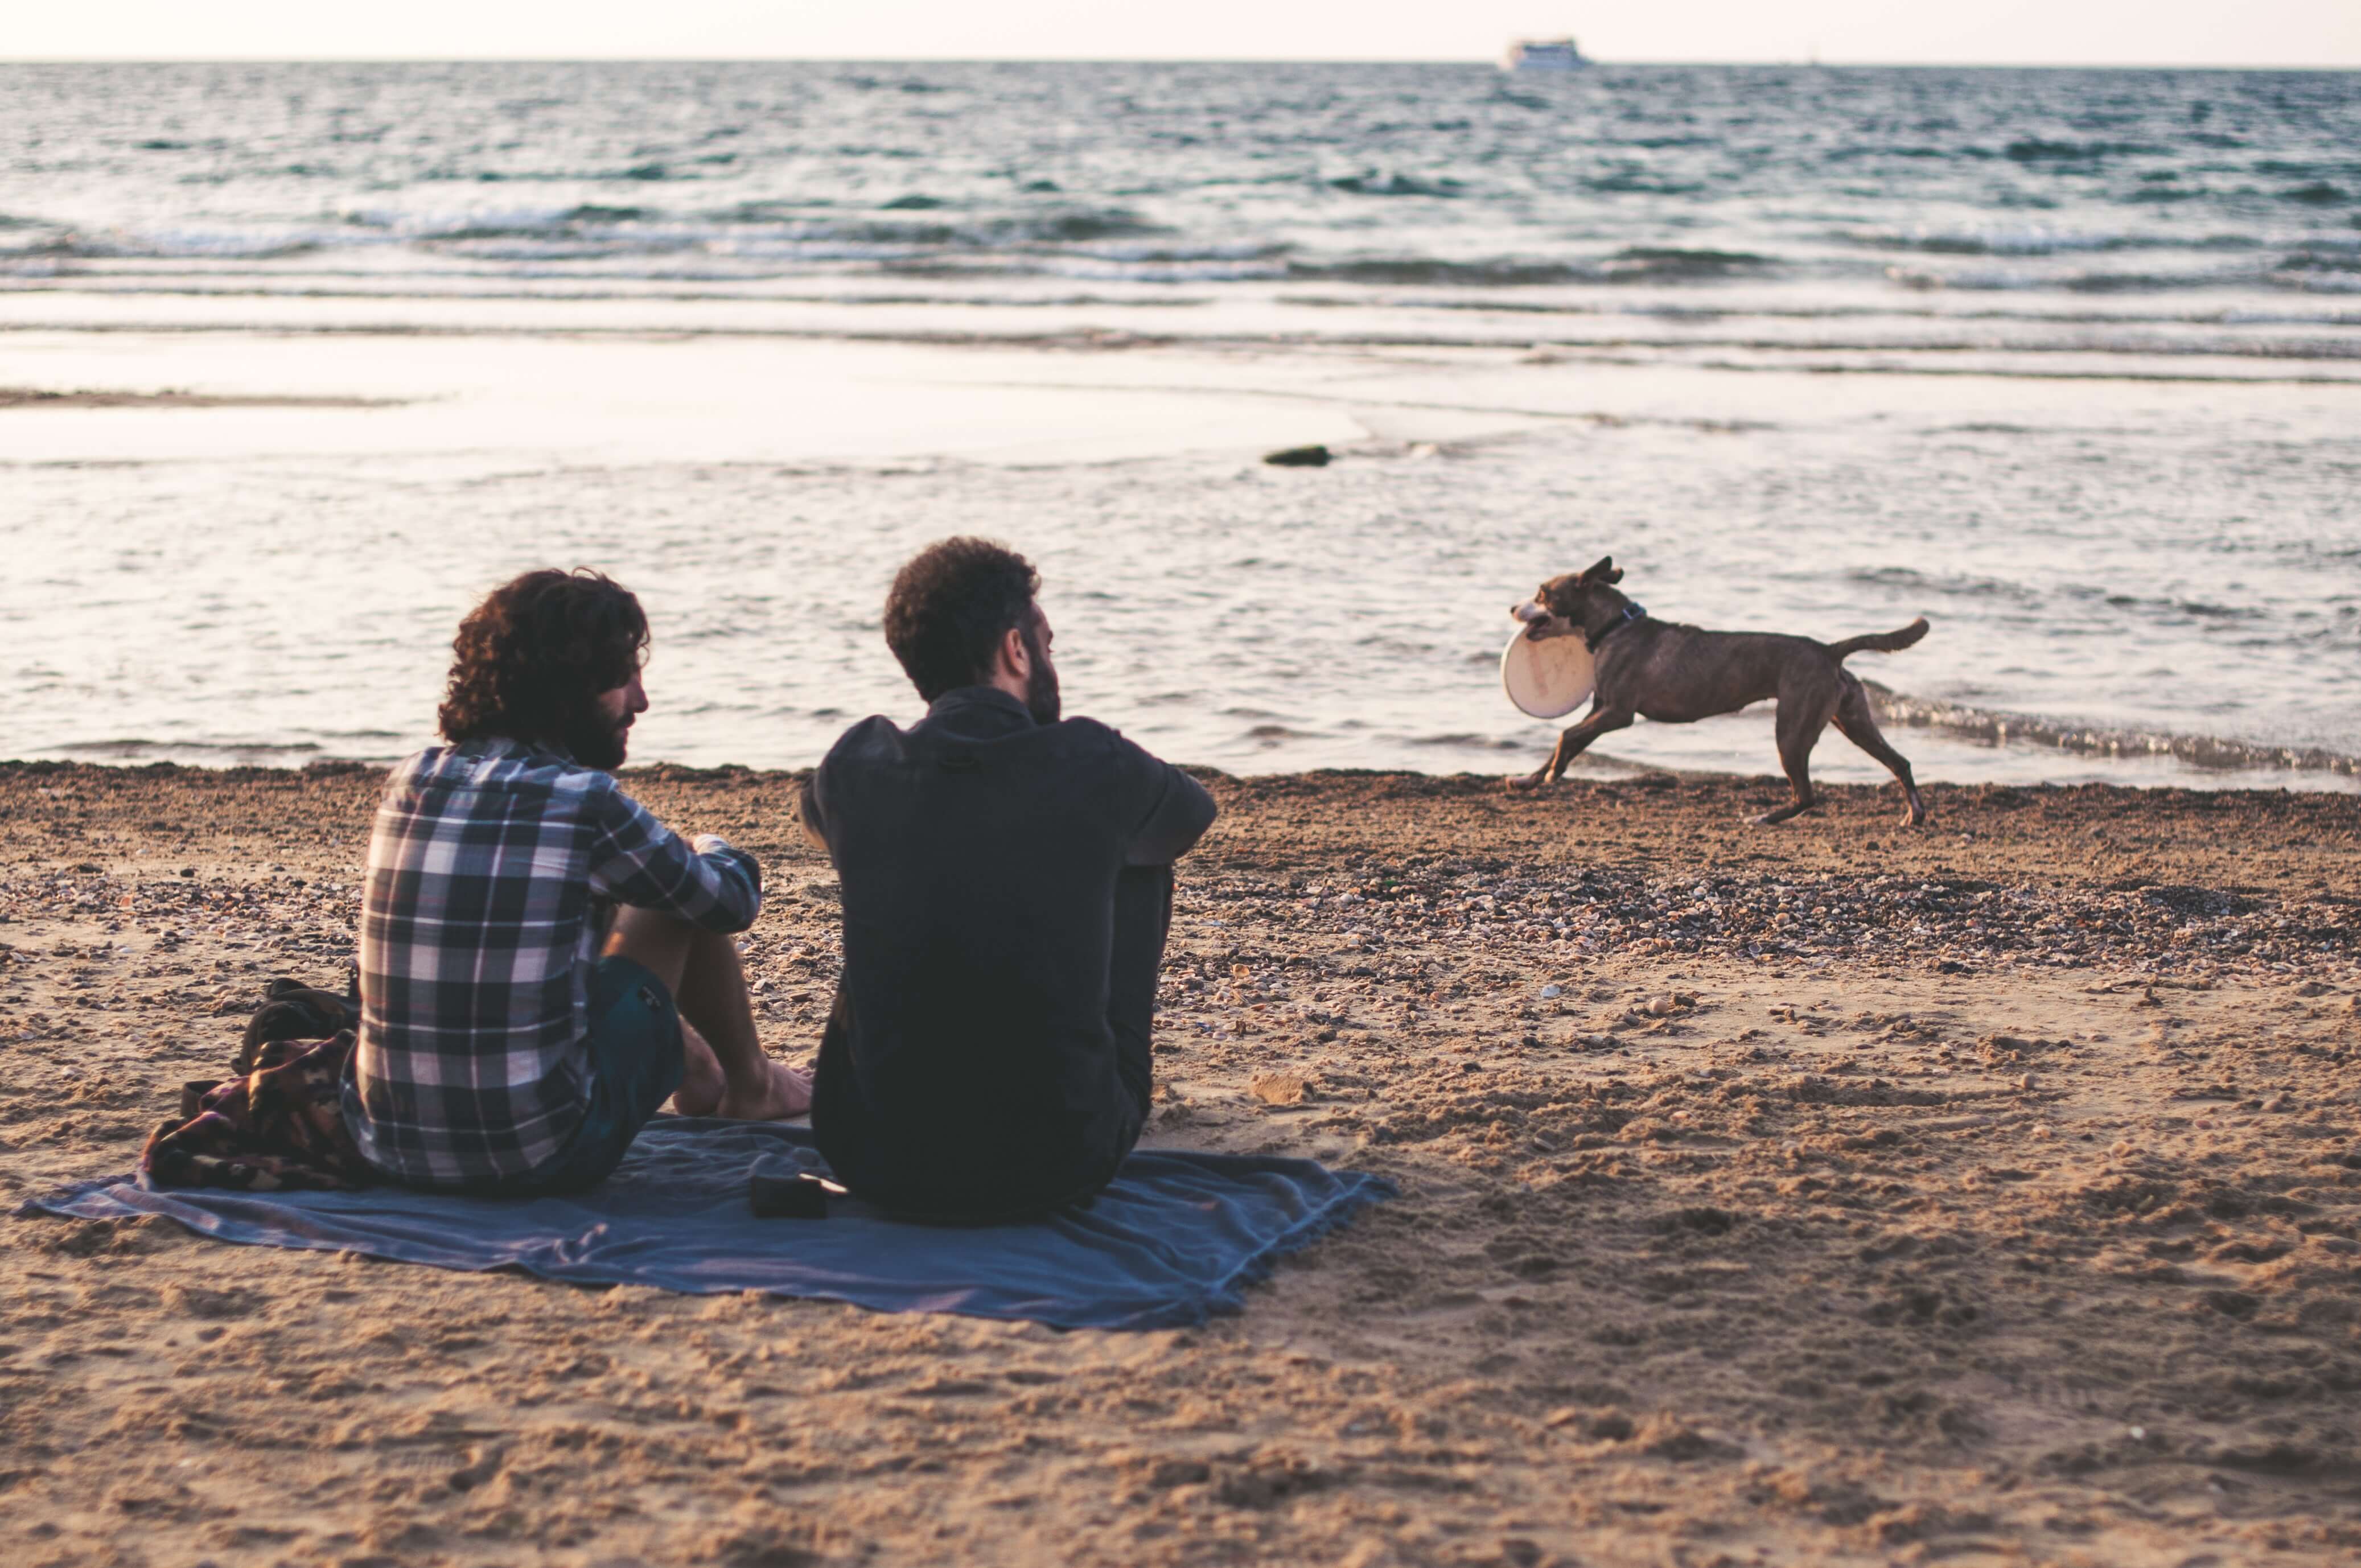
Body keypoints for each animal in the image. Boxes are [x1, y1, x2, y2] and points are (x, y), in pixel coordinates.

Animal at [1511, 550, 1936, 826]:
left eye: (1542, 593)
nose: (1512, 608)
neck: (1616, 625)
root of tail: (1829, 651)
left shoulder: (1617, 712)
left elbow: (1566, 735)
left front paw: (1549, 775)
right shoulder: (1599, 710)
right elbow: (1568, 741)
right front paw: (1531, 778)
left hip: (1793, 729)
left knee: (1807, 794)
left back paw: (1763, 818)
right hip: (1853, 719)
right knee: (1899, 762)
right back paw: (1914, 814)